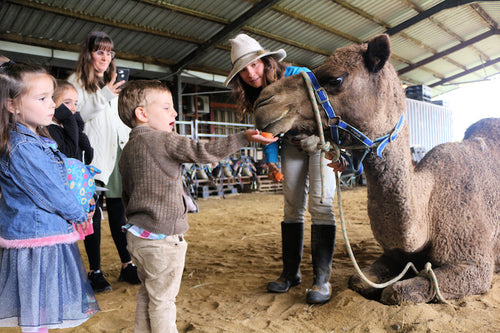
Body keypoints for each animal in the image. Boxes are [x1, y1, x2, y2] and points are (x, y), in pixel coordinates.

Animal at [254, 33, 500, 304]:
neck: (427, 212)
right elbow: (359, 280)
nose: (263, 102)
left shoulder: (474, 264)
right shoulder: (393, 255)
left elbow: (396, 291)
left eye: (336, 78)